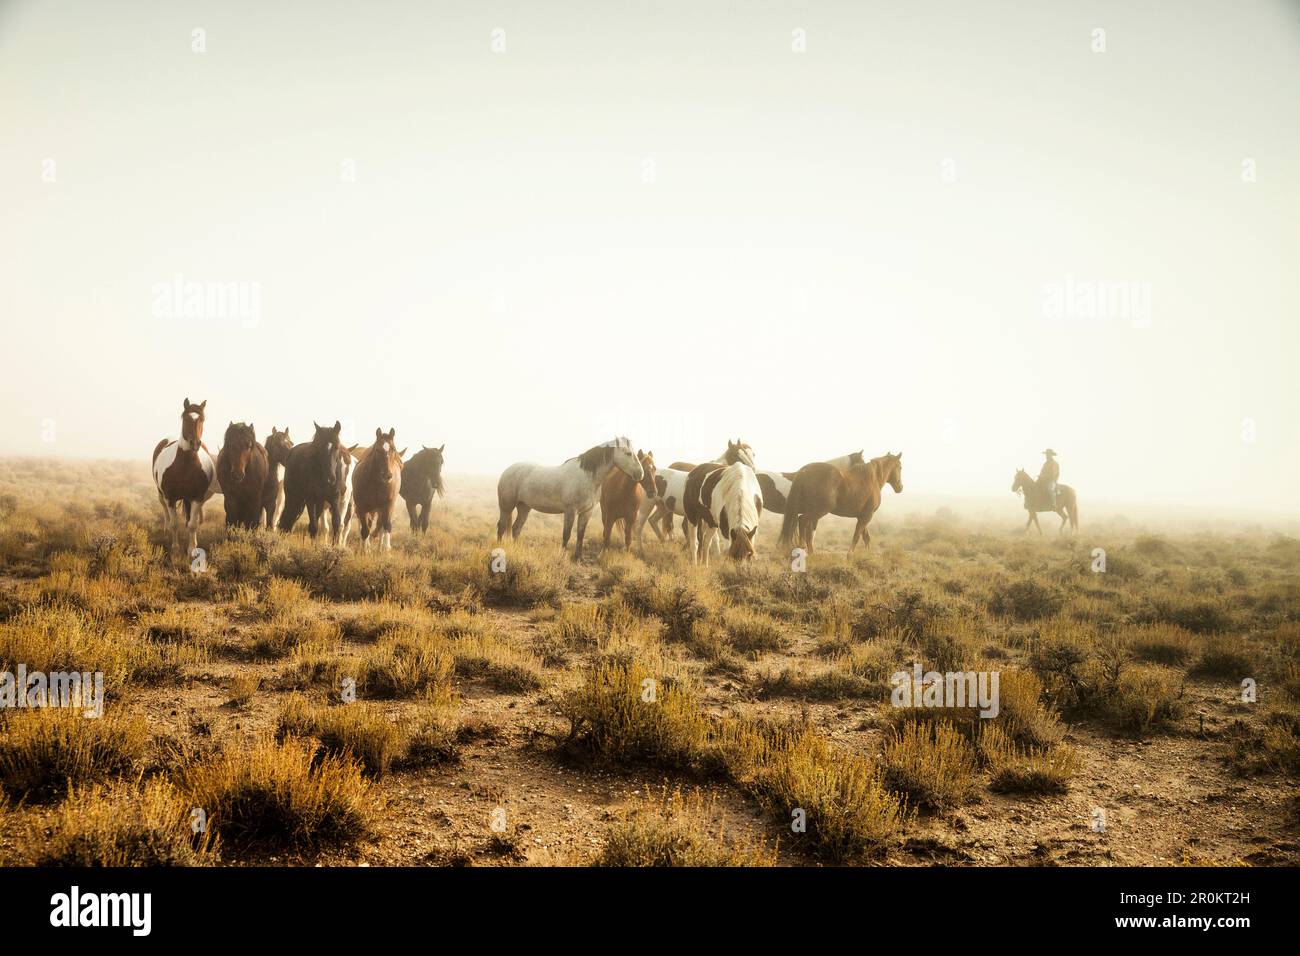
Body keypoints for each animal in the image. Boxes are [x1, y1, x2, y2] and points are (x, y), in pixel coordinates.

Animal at [154, 398, 220, 561]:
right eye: (185, 418)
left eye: (202, 419)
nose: (194, 443)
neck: (185, 465)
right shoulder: (170, 497)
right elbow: (174, 524)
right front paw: (175, 549)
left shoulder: (197, 497)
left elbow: (192, 524)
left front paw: (192, 550)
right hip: (161, 494)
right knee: (165, 511)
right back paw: (166, 528)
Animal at [493, 439, 642, 564]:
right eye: (628, 453)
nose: (640, 474)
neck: (586, 477)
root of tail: (507, 470)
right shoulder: (570, 511)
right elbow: (567, 534)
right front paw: (563, 555)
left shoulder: (586, 512)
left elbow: (581, 535)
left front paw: (578, 558)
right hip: (506, 506)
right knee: (501, 527)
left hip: (524, 507)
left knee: (516, 528)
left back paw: (516, 549)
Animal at [769, 455, 904, 556]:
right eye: (900, 467)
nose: (900, 487)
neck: (872, 479)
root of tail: (804, 471)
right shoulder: (867, 516)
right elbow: (857, 535)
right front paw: (850, 556)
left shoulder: (862, 516)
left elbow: (865, 537)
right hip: (818, 511)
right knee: (802, 521)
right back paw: (802, 549)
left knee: (804, 526)